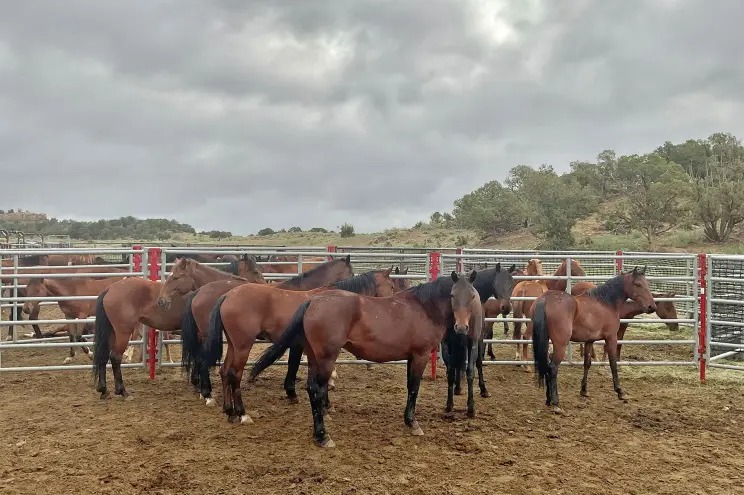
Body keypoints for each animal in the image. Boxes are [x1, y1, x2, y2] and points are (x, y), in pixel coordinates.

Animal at [91, 256, 262, 400]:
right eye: (256, 271)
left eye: (176, 277)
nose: (263, 286)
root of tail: (110, 288)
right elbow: (198, 356)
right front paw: (200, 386)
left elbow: (196, 356)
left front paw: (196, 382)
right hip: (123, 332)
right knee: (115, 357)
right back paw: (122, 391)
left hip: (112, 332)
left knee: (104, 355)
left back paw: (103, 389)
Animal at [176, 256, 354, 404]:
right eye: (351, 273)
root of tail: (200, 292)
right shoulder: (297, 343)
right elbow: (293, 364)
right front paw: (291, 392)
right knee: (202, 359)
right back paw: (207, 393)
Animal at [198, 268, 396, 422]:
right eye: (393, 286)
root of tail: (227, 296)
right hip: (242, 346)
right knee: (235, 374)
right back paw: (242, 413)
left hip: (233, 345)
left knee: (225, 372)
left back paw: (229, 412)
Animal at [250, 272, 480, 450]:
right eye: (452, 295)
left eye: (471, 296)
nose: (461, 328)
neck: (424, 308)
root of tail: (313, 301)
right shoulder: (420, 355)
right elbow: (414, 387)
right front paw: (414, 423)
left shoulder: (411, 357)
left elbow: (409, 387)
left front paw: (408, 420)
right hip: (326, 358)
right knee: (317, 389)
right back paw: (323, 436)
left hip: (314, 357)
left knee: (310, 388)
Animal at [528, 268, 656, 414]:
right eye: (638, 284)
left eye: (647, 284)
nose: (652, 307)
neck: (606, 303)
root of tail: (544, 299)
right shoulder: (611, 338)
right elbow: (613, 363)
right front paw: (620, 392)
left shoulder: (589, 341)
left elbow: (587, 363)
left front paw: (584, 391)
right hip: (560, 344)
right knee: (553, 368)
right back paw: (556, 403)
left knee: (547, 366)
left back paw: (549, 400)